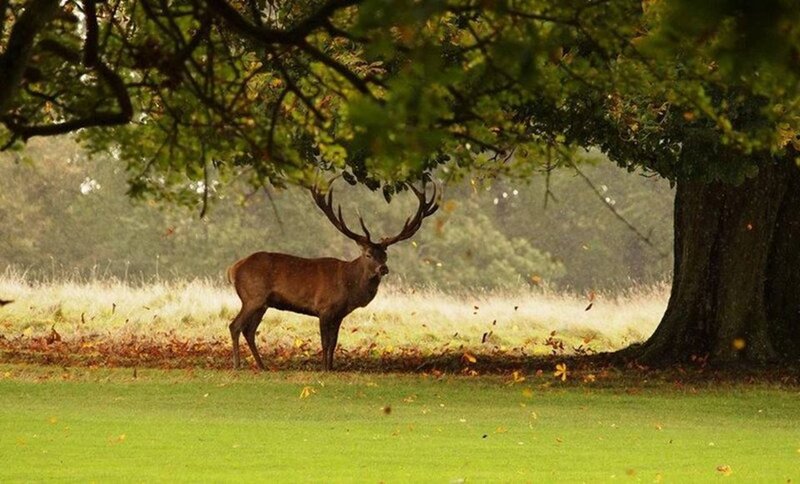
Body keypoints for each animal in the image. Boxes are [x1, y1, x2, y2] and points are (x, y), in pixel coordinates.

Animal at [226, 179, 439, 371]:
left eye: (385, 255)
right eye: (368, 254)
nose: (383, 269)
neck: (349, 286)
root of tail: (233, 268)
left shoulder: (340, 314)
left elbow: (334, 342)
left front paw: (331, 367)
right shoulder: (324, 308)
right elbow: (325, 342)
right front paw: (323, 369)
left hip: (263, 303)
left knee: (249, 330)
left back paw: (263, 366)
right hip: (252, 296)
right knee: (235, 326)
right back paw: (237, 365)